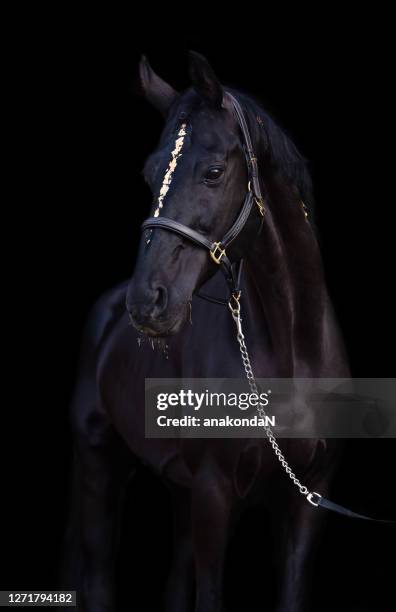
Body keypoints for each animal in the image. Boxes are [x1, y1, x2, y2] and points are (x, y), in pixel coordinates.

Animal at [64, 53, 350, 612]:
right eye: (150, 173)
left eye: (214, 171)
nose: (146, 301)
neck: (294, 353)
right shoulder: (215, 495)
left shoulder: (308, 499)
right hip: (98, 465)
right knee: (100, 576)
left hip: (178, 487)